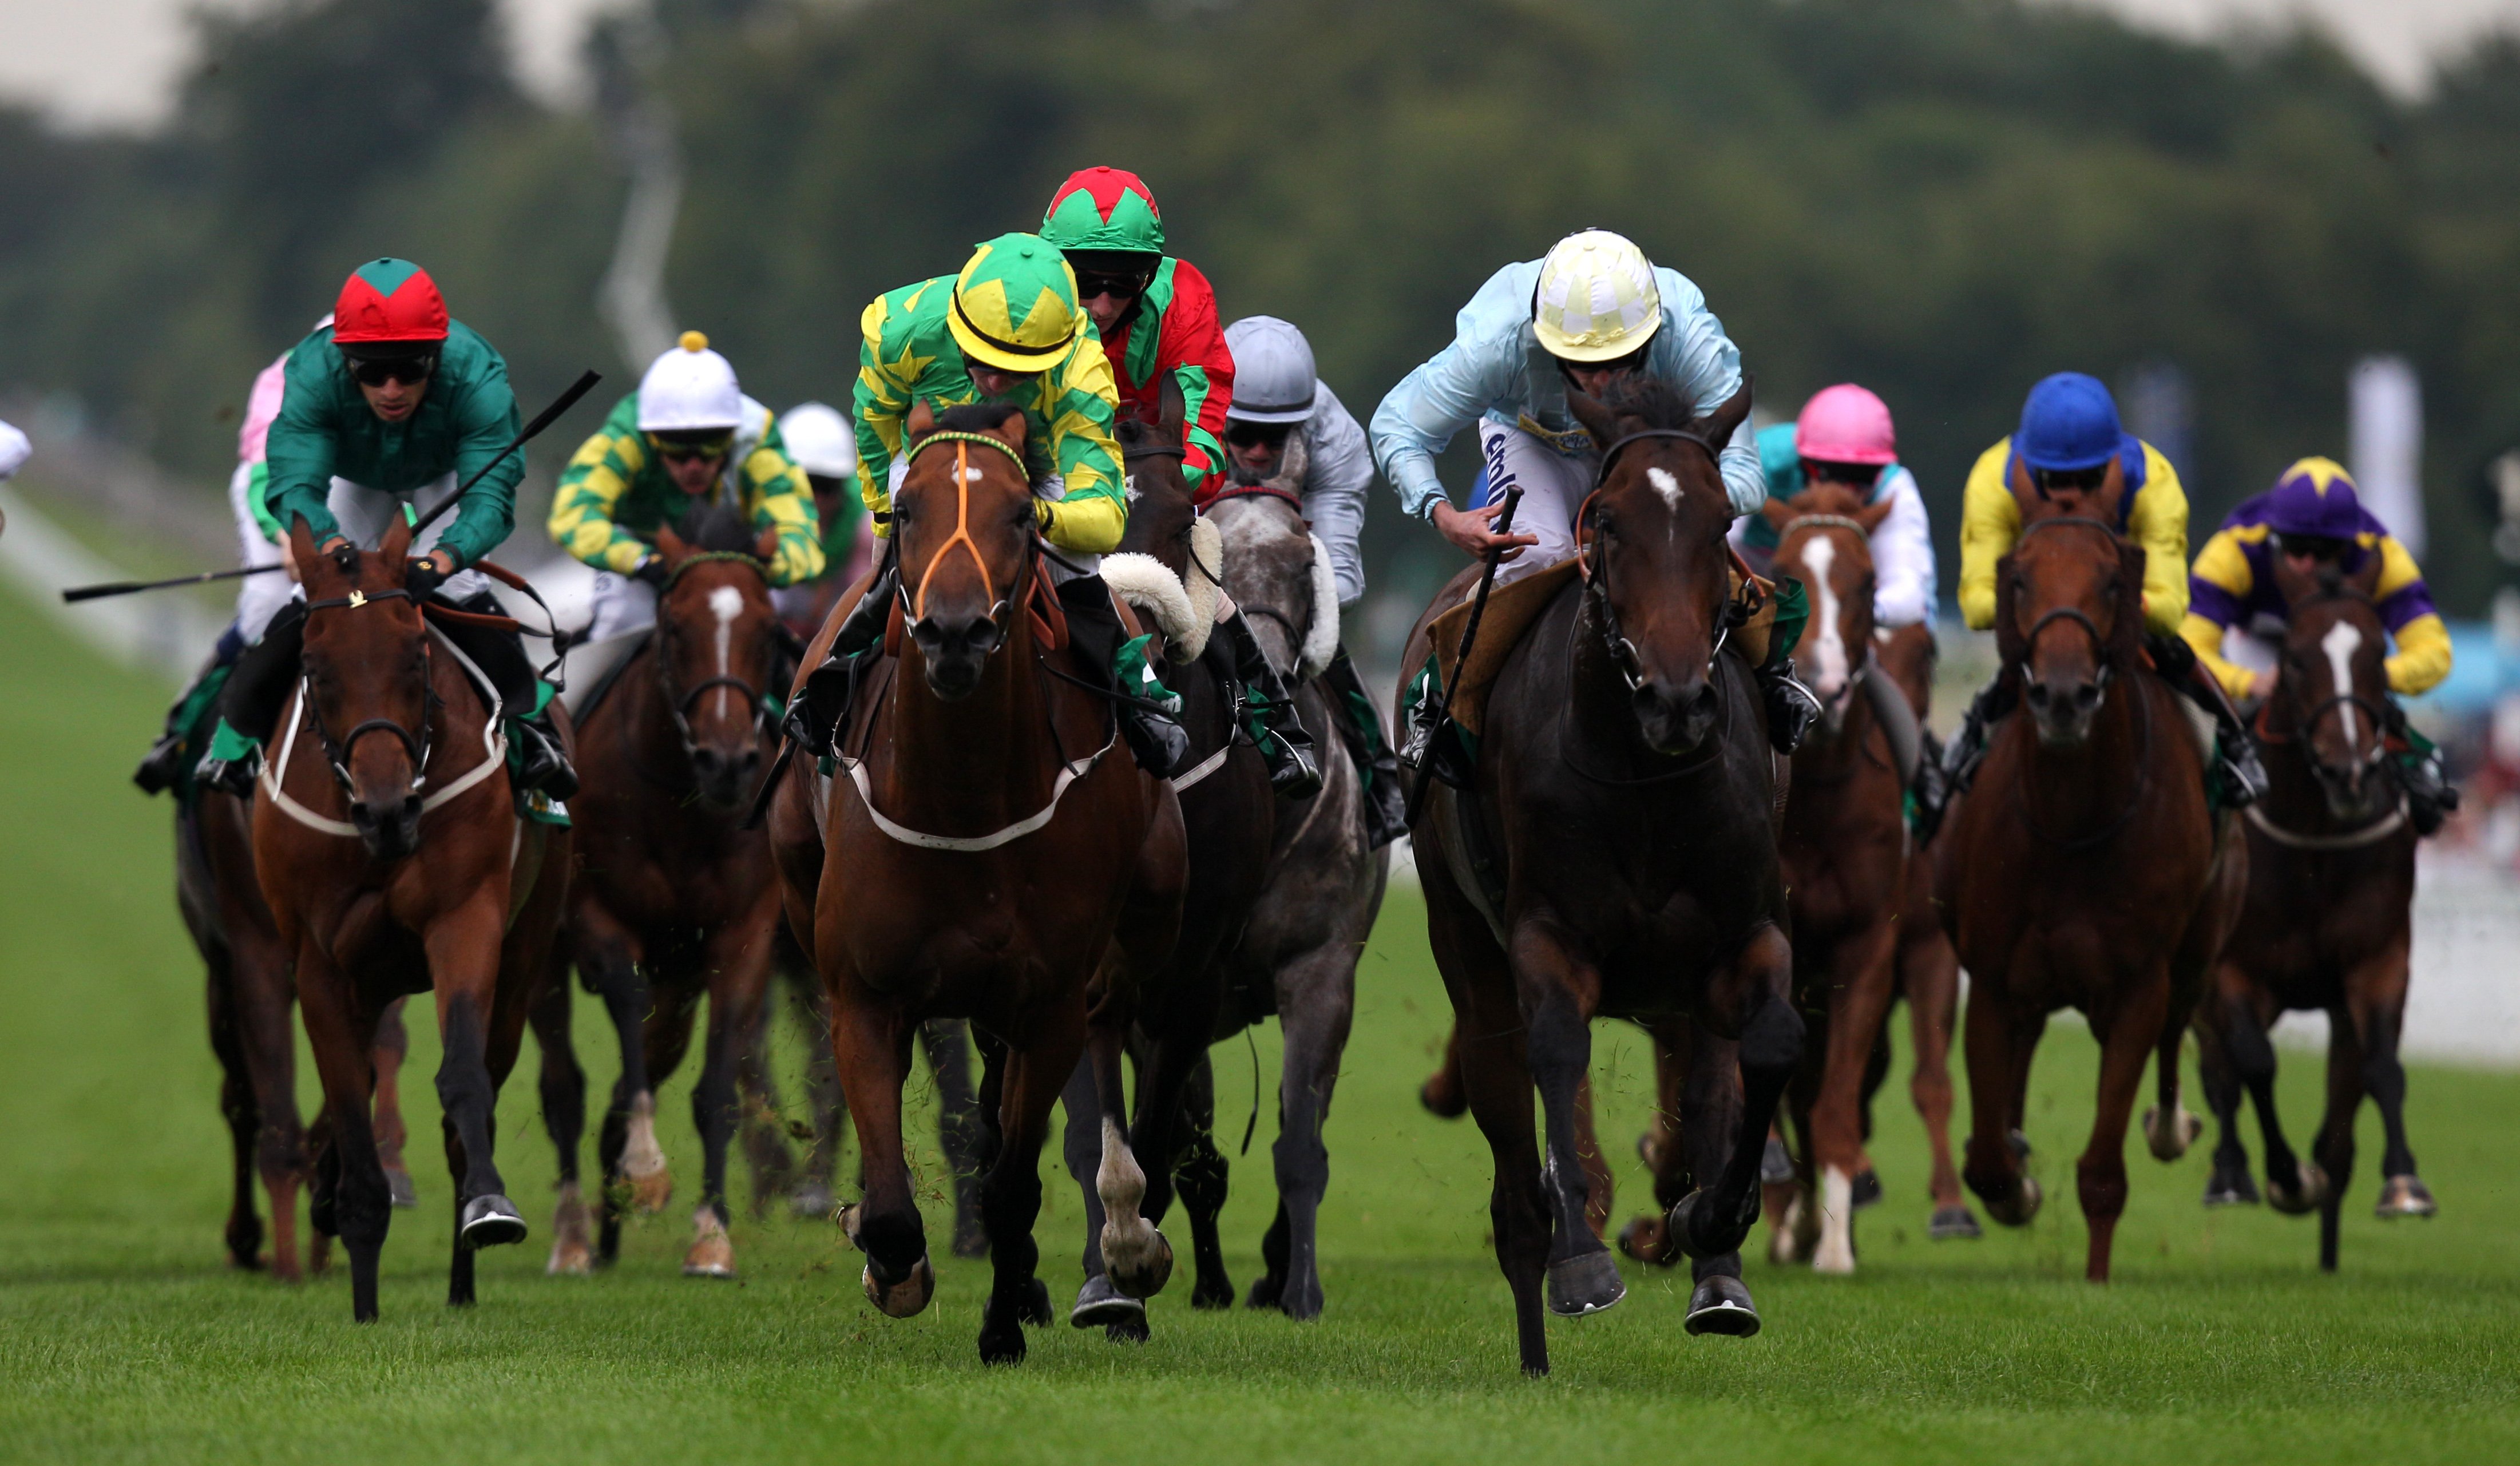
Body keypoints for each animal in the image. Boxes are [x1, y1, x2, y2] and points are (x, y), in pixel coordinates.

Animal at [253, 514, 574, 1320]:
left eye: (414, 650)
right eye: (314, 662)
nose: (389, 809)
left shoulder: (465, 919)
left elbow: (462, 1079)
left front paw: (488, 1207)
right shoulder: (320, 964)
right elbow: (348, 1102)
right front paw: (362, 1284)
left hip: (522, 957)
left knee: (480, 1079)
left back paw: (462, 1276)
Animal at [766, 403, 1189, 1370]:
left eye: (1022, 517)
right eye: (907, 510)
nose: (955, 633)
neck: (961, 795)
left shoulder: (1048, 1003)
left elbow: (1013, 1185)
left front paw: (1002, 1325)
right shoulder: (865, 994)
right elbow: (893, 1204)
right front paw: (889, 1263)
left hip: (1141, 925)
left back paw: (1126, 1247)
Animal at [1401, 380, 1794, 1380]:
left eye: (1723, 519)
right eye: (1608, 523)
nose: (1678, 697)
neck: (1646, 775)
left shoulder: (1742, 936)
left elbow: (1771, 1050)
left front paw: (1711, 1220)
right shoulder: (1547, 937)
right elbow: (1556, 1052)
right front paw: (1582, 1261)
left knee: (1711, 1084)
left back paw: (1717, 1274)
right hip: (1467, 952)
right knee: (1509, 1140)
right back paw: (1537, 1341)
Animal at [1925, 509, 2248, 1289]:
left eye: (2109, 581)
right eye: (2019, 580)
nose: (2065, 696)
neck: (2072, 821)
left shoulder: (2137, 985)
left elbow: (2104, 1169)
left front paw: (2097, 1283)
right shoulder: (1994, 978)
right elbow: (1987, 1159)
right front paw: (2014, 1183)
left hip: (2195, 953)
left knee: (2177, 1030)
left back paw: (2170, 1126)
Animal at [2197, 556, 2429, 1269]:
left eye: (2377, 654)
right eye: (2294, 659)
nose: (2347, 771)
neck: (2312, 842)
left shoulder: (2378, 962)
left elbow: (2382, 1068)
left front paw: (2404, 1185)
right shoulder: (2233, 971)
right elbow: (2251, 1063)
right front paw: (2280, 1177)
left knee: (2340, 1122)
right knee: (2219, 1072)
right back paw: (2231, 1173)